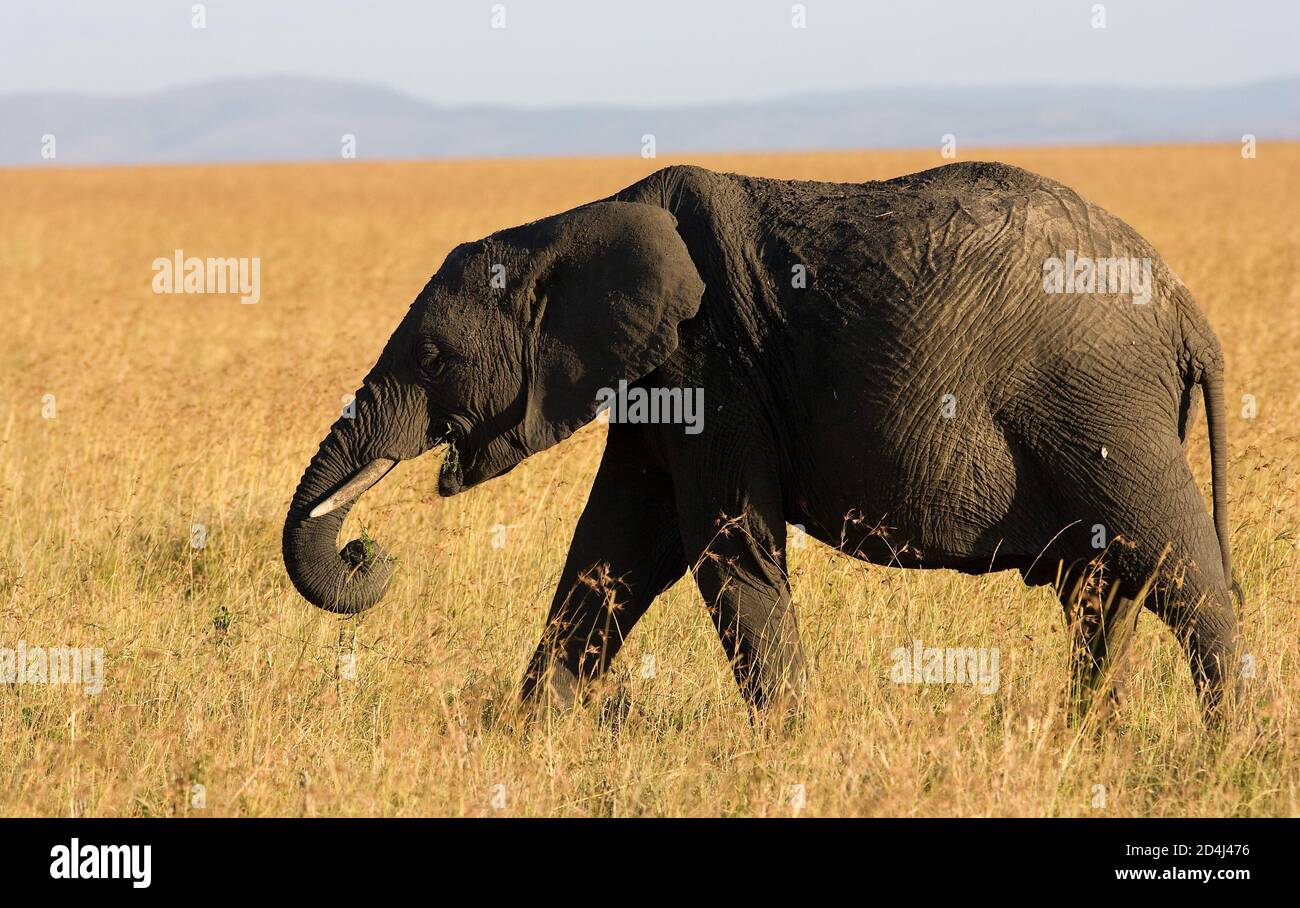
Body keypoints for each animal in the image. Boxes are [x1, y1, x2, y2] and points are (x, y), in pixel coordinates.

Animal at [282, 160, 1237, 723]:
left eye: (433, 357)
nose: (368, 550)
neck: (567, 223)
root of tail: (1187, 312)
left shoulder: (716, 365)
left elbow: (723, 547)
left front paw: (792, 749)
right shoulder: (660, 384)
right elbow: (612, 552)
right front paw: (530, 736)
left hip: (1103, 408)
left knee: (1182, 572)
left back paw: (1228, 748)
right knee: (1102, 590)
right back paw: (1084, 744)